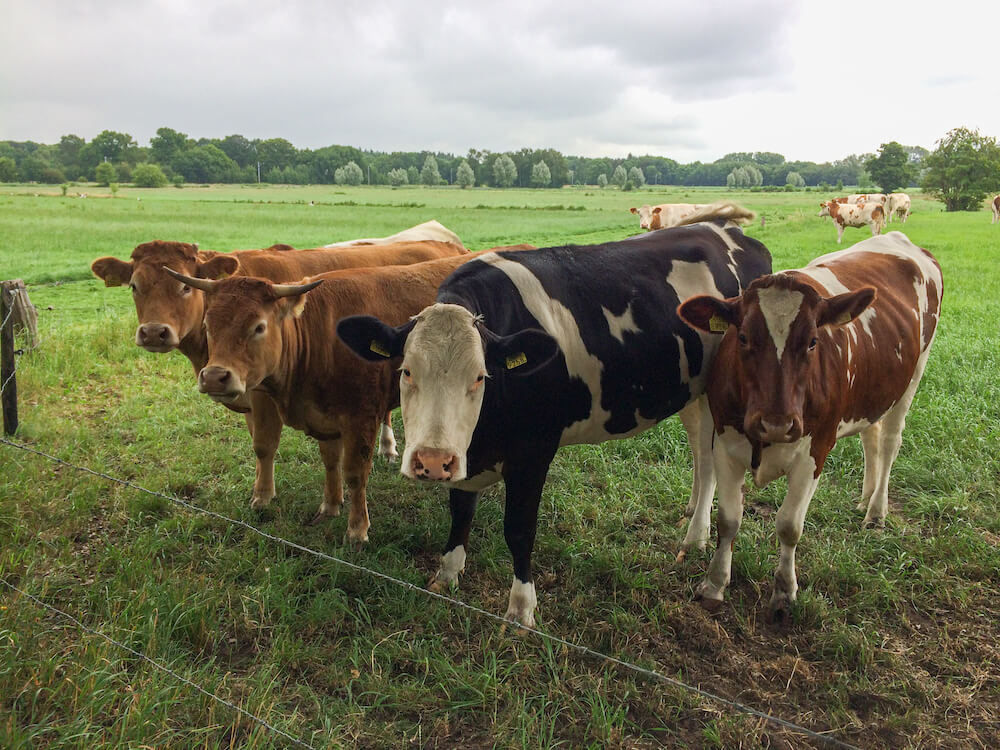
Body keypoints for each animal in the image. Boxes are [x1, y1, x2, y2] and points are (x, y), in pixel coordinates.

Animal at [93, 239, 468, 512]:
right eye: (134, 286)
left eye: (185, 289)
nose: (154, 333)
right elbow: (261, 445)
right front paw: (262, 491)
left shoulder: (262, 396)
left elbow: (265, 444)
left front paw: (262, 496)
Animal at [168, 250, 536, 544]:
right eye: (208, 324)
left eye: (259, 326)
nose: (215, 376)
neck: (321, 335)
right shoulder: (324, 417)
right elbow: (330, 461)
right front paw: (330, 506)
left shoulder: (361, 418)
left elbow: (355, 472)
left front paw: (357, 529)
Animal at [338, 201, 772, 628]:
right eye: (406, 371)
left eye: (479, 376)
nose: (429, 461)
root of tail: (728, 230)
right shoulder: (464, 453)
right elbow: (460, 511)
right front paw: (446, 574)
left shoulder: (533, 452)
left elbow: (519, 530)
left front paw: (521, 609)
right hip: (693, 393)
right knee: (700, 450)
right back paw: (693, 520)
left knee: (711, 459)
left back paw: (696, 536)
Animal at [676, 234, 940, 624]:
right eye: (743, 338)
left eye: (813, 341)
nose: (777, 422)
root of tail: (898, 238)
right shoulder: (725, 443)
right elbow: (728, 520)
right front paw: (714, 585)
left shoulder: (815, 452)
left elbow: (789, 526)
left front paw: (784, 593)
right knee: (871, 436)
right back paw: (865, 498)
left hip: (912, 375)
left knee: (891, 441)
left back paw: (876, 511)